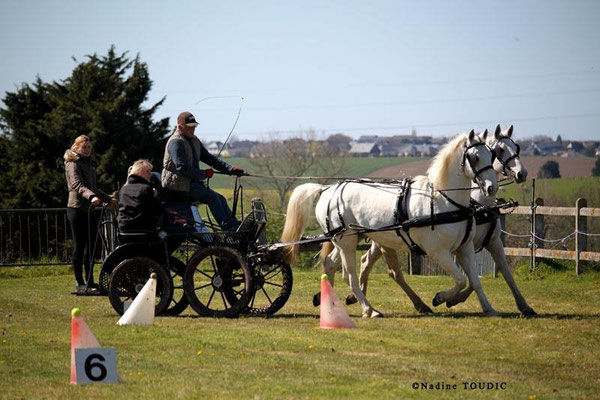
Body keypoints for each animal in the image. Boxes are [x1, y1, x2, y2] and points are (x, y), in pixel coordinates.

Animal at [284, 130, 500, 318]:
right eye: (474, 157)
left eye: (492, 154)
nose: (492, 187)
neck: (443, 200)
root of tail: (327, 189)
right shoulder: (438, 251)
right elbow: (461, 279)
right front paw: (440, 298)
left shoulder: (465, 248)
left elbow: (474, 281)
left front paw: (488, 309)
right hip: (346, 243)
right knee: (350, 275)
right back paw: (370, 310)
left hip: (346, 240)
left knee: (330, 264)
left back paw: (332, 305)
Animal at [332, 124, 536, 316]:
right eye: (499, 150)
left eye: (515, 147)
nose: (522, 174)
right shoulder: (448, 249)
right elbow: (467, 280)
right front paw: (447, 299)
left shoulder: (489, 243)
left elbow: (498, 276)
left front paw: (520, 306)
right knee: (380, 269)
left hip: (377, 240)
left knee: (360, 262)